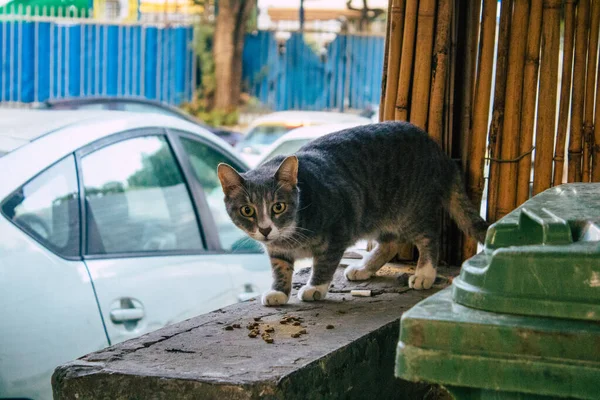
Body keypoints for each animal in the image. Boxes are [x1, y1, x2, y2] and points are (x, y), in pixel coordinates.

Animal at [218, 120, 490, 304]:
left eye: (278, 206)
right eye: (247, 210)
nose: (265, 229)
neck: (291, 232)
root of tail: (440, 153)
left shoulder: (338, 229)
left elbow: (325, 263)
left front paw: (315, 287)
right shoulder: (277, 250)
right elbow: (280, 268)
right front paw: (278, 291)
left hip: (413, 209)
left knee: (430, 236)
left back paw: (424, 273)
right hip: (378, 215)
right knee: (390, 242)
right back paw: (364, 268)